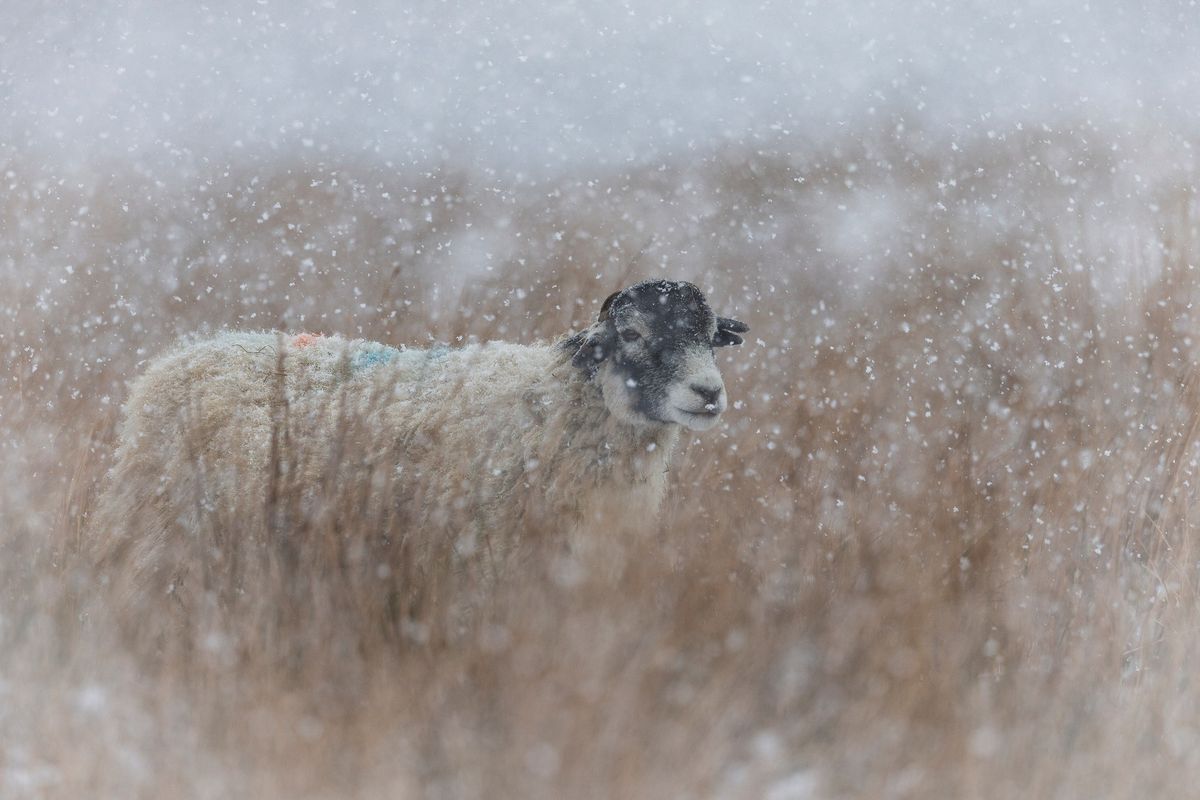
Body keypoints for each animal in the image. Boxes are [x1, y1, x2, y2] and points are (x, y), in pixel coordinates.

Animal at [91, 278, 748, 633]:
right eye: (632, 334)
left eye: (711, 337)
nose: (708, 393)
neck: (555, 403)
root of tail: (184, 354)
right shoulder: (484, 574)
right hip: (163, 543)